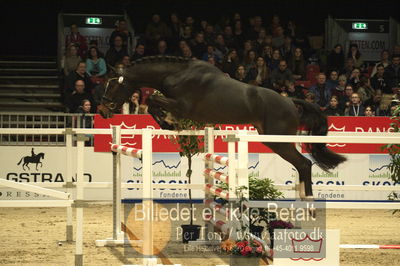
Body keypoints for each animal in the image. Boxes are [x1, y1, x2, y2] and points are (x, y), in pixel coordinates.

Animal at [98, 56, 346, 202]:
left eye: (113, 85)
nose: (102, 109)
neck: (176, 75)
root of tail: (290, 101)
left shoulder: (182, 106)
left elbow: (153, 101)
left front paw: (169, 122)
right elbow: (152, 104)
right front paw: (170, 124)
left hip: (278, 141)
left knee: (304, 163)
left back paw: (310, 203)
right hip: (271, 140)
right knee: (302, 164)